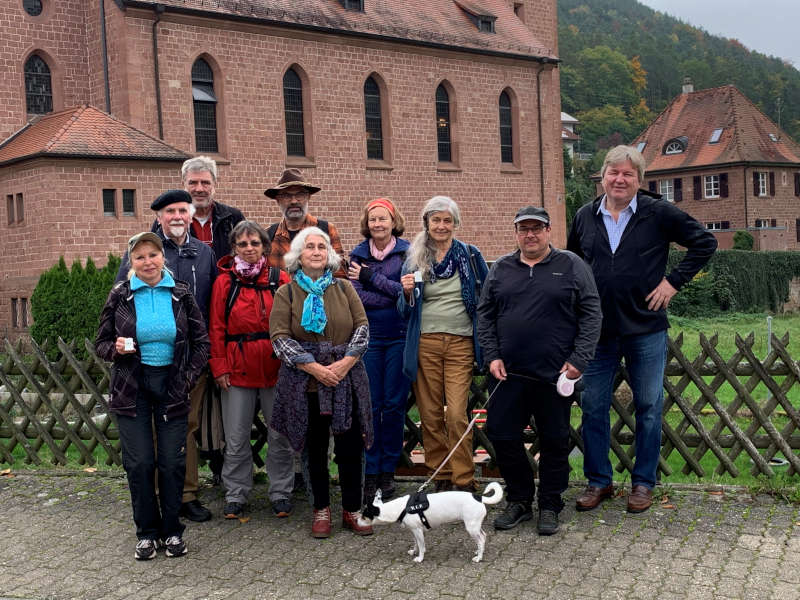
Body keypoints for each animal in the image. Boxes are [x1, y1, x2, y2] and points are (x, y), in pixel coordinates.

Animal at [360, 482, 504, 564]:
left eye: (363, 516)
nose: (356, 519)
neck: (401, 508)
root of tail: (479, 497)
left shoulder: (418, 531)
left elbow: (422, 546)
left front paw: (420, 558)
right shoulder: (415, 531)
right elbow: (416, 543)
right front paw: (414, 551)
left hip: (471, 527)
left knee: (481, 539)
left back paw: (479, 557)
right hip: (475, 526)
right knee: (483, 536)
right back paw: (478, 551)